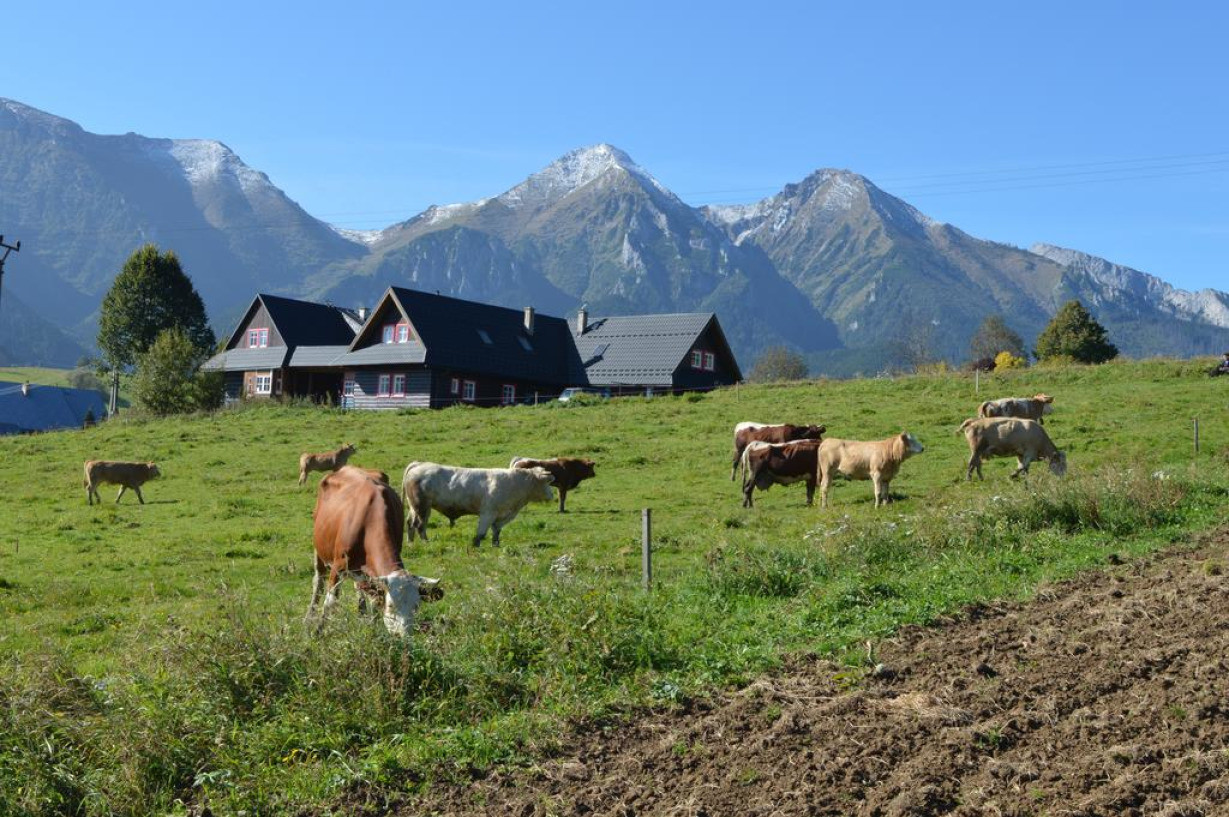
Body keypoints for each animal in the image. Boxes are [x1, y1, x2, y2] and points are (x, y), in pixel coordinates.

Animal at [306, 465, 442, 635]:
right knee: (318, 581)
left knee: (359, 587)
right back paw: (309, 617)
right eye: (391, 606)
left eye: (416, 606)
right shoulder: (338, 565)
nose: (404, 635)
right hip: (319, 550)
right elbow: (330, 602)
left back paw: (362, 614)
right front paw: (318, 632)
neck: (369, 521)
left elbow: (375, 602)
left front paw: (372, 628)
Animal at [401, 462, 555, 547]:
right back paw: (425, 543)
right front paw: (476, 546)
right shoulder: (488, 513)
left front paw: (496, 545)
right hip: (422, 507)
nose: (552, 495)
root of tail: (419, 464)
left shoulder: (500, 516)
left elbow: (496, 531)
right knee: (420, 525)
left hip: (415, 507)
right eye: (547, 482)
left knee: (410, 523)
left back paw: (411, 544)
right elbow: (481, 533)